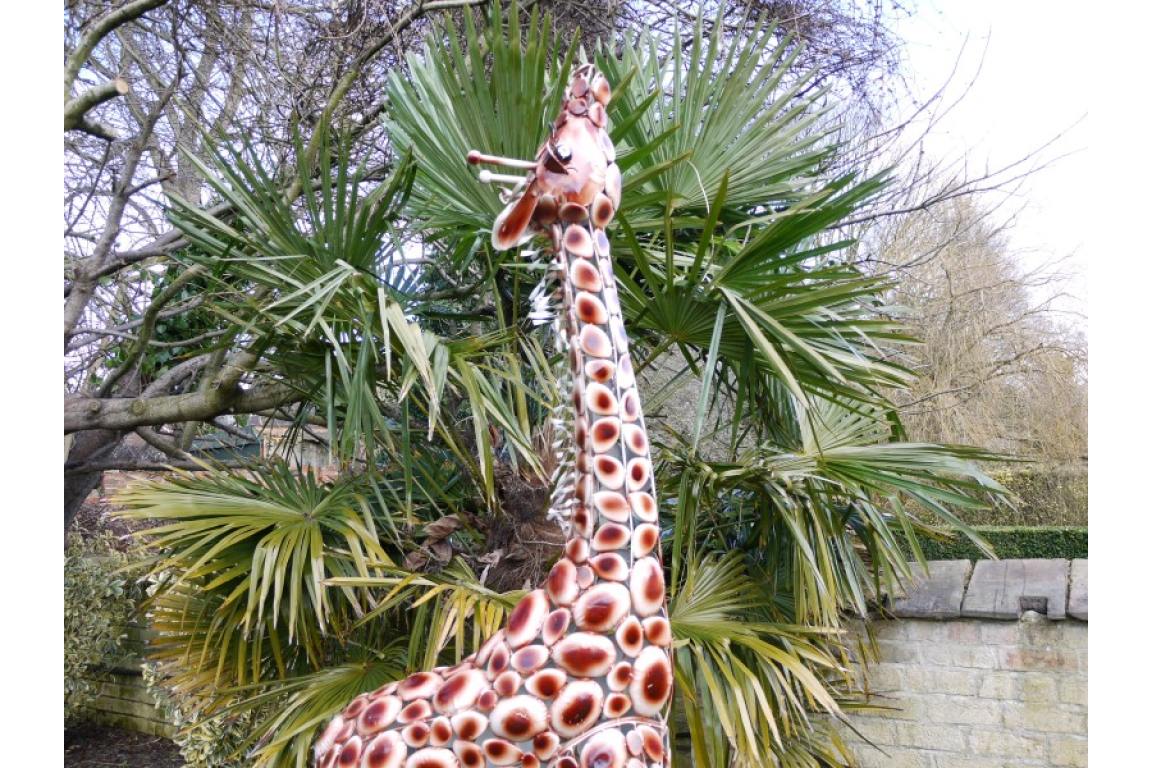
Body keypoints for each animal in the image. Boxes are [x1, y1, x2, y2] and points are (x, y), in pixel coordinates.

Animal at [314, 63, 672, 768]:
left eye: (609, 147)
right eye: (557, 155)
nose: (590, 75)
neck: (600, 564)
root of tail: (328, 735)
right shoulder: (624, 743)